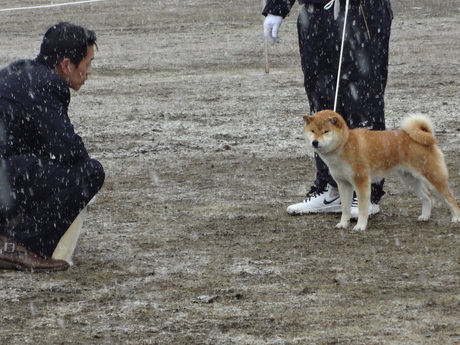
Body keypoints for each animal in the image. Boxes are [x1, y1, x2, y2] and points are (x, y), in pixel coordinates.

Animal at [302, 109, 460, 230]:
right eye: (312, 131)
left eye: (326, 131)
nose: (315, 142)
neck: (344, 144)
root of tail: (427, 136)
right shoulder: (343, 184)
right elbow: (345, 209)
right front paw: (343, 224)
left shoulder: (361, 182)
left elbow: (362, 208)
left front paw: (360, 226)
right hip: (409, 180)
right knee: (427, 196)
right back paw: (425, 216)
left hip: (433, 177)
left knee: (451, 199)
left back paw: (456, 218)